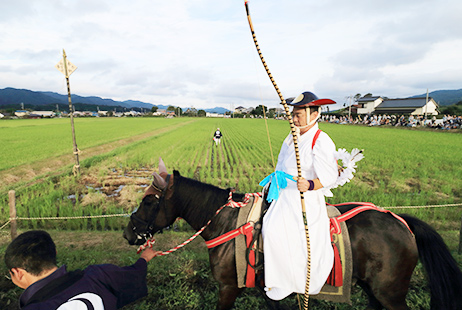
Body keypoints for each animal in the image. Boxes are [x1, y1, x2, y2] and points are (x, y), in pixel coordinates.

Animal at [122, 170, 462, 310]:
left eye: (149, 201)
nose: (129, 231)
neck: (228, 223)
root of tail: (400, 220)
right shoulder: (268, 289)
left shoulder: (229, 287)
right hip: (373, 290)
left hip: (390, 293)